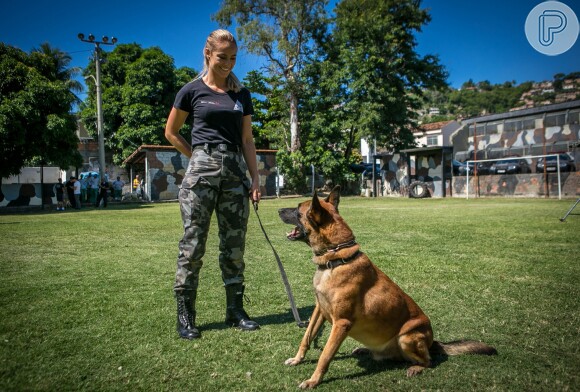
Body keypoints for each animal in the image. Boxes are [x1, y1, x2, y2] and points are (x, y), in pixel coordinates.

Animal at [278, 187, 496, 388]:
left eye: (297, 210)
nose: (278, 209)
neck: (337, 258)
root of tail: (432, 341)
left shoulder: (342, 323)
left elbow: (325, 356)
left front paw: (313, 380)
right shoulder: (319, 310)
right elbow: (306, 337)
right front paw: (297, 359)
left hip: (407, 337)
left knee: (428, 361)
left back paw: (416, 367)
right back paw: (365, 349)